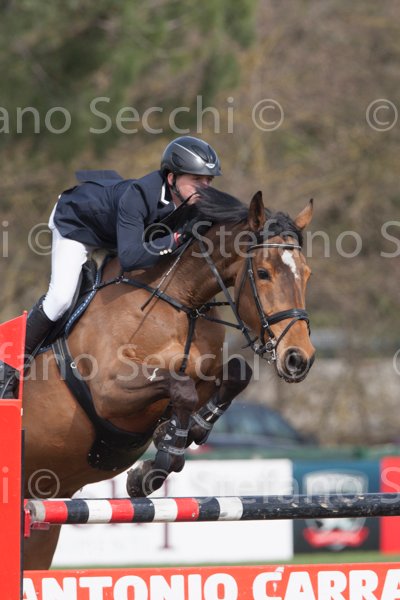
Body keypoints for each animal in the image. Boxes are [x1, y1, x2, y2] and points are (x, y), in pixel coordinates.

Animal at [22, 187, 315, 569]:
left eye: (306, 274)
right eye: (263, 273)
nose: (299, 359)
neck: (180, 302)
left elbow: (237, 374)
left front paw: (187, 432)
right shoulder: (109, 394)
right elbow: (180, 388)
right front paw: (157, 464)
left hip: (44, 522)